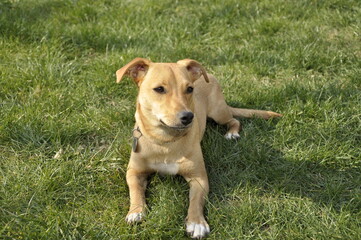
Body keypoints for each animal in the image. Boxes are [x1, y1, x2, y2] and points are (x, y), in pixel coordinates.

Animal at [115, 57, 282, 238]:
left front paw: (197, 223)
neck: (166, 141)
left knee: (234, 120)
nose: (188, 117)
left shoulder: (199, 177)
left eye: (189, 89)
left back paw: (232, 133)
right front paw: (136, 211)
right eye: (159, 89)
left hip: (218, 112)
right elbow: (135, 190)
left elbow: (196, 200)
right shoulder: (134, 171)